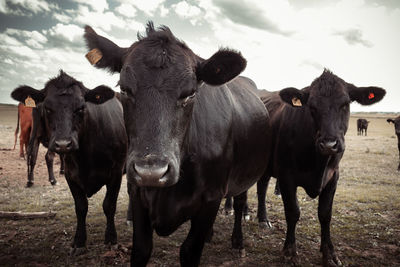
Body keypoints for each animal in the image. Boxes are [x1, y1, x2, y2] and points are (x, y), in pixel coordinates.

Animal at [10, 71, 127, 255]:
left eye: (81, 108)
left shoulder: (116, 173)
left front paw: (111, 239)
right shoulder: (71, 176)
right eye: (48, 108)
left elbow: (109, 205)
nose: (63, 144)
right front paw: (79, 241)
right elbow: (81, 207)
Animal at [84, 22, 272, 266]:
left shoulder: (212, 197)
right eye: (124, 89)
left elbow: (189, 251)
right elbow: (141, 249)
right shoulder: (137, 191)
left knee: (240, 202)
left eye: (190, 93)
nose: (151, 172)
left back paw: (238, 240)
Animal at [252, 70, 386, 266]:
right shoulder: (286, 177)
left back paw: (263, 219)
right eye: (312, 107)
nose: (329, 144)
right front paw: (289, 252)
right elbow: (293, 212)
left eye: (345, 104)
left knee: (261, 186)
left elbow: (325, 214)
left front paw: (329, 253)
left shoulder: (333, 177)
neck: (318, 163)